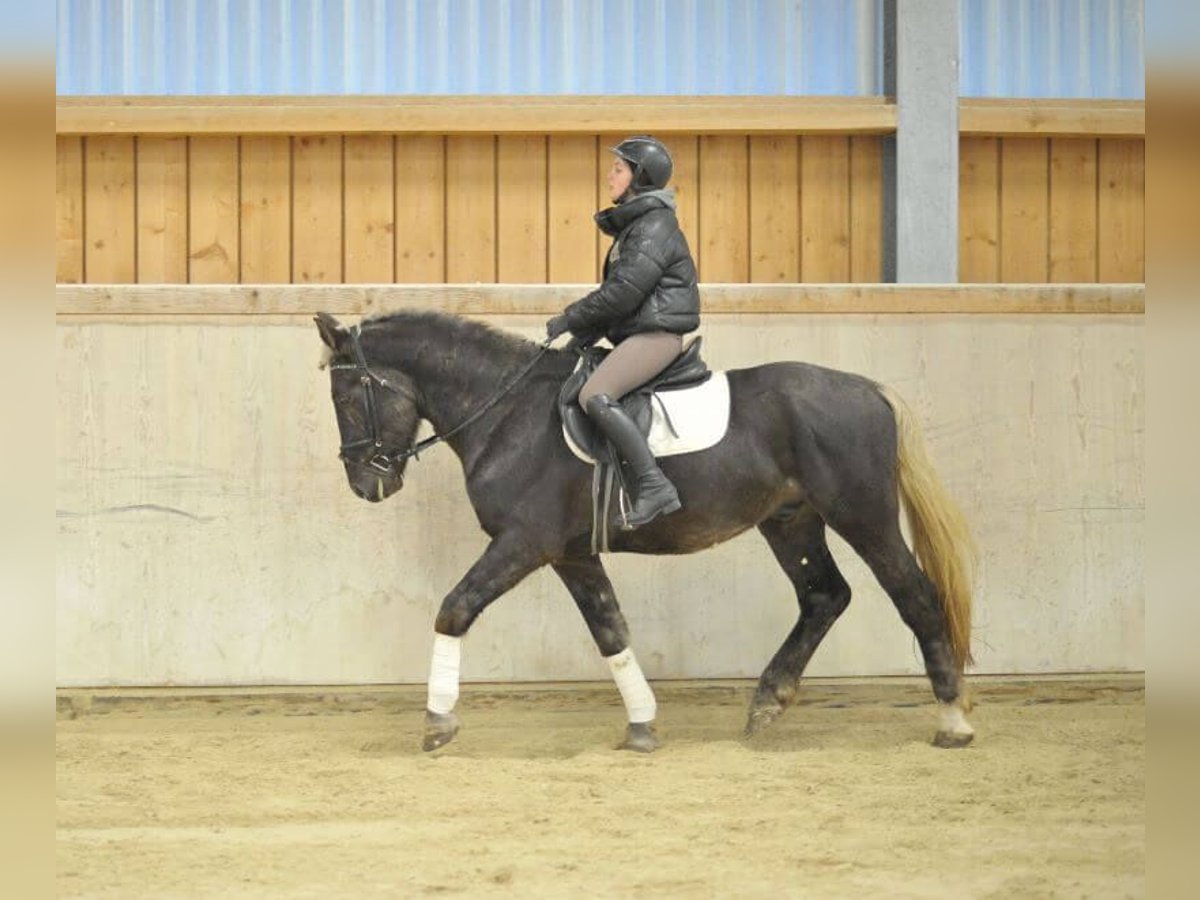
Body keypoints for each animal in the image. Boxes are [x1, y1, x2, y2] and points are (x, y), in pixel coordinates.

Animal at [314, 309, 979, 753]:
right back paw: (767, 703)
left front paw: (437, 722)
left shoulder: (524, 542)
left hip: (862, 515)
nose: (366, 484)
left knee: (914, 595)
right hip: (791, 521)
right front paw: (641, 724)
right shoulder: (571, 554)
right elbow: (611, 630)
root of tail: (870, 389)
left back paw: (952, 720)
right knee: (824, 596)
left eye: (347, 397)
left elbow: (454, 608)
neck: (506, 414)